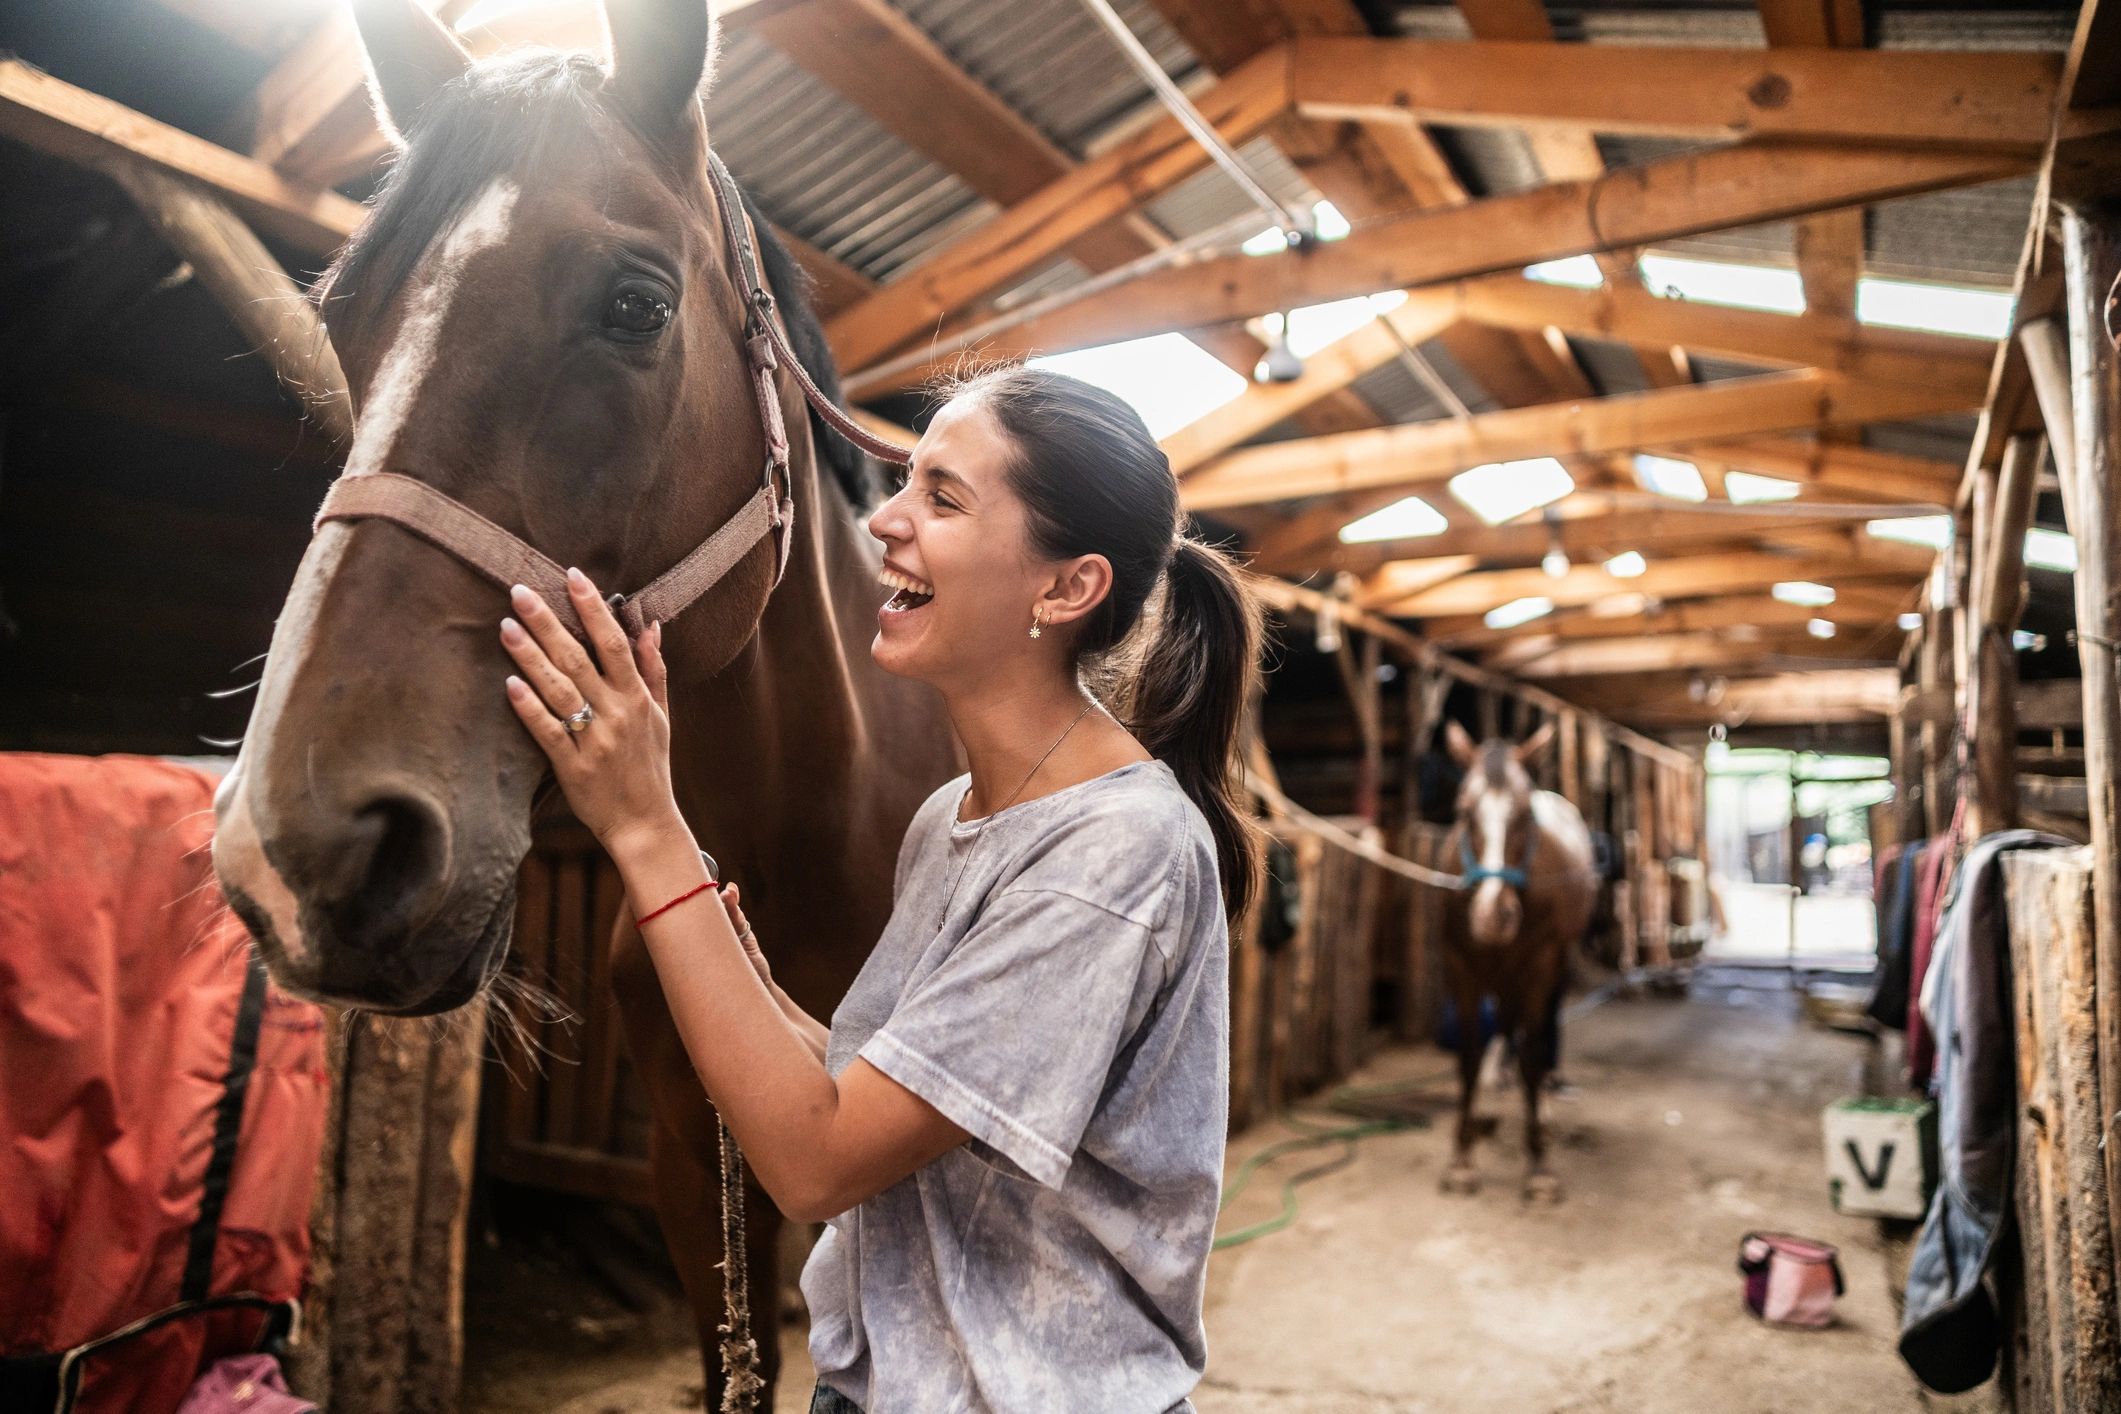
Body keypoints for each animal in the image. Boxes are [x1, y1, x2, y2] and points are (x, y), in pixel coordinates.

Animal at [1437, 721, 1598, 1203]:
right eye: (1464, 810)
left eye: (1525, 814)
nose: (1494, 915)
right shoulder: (1460, 966)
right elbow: (1469, 1057)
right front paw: (1462, 1159)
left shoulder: (1539, 966)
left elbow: (1531, 1054)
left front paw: (1540, 1165)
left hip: (1553, 968)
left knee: (1539, 1036)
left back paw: (1541, 1107)